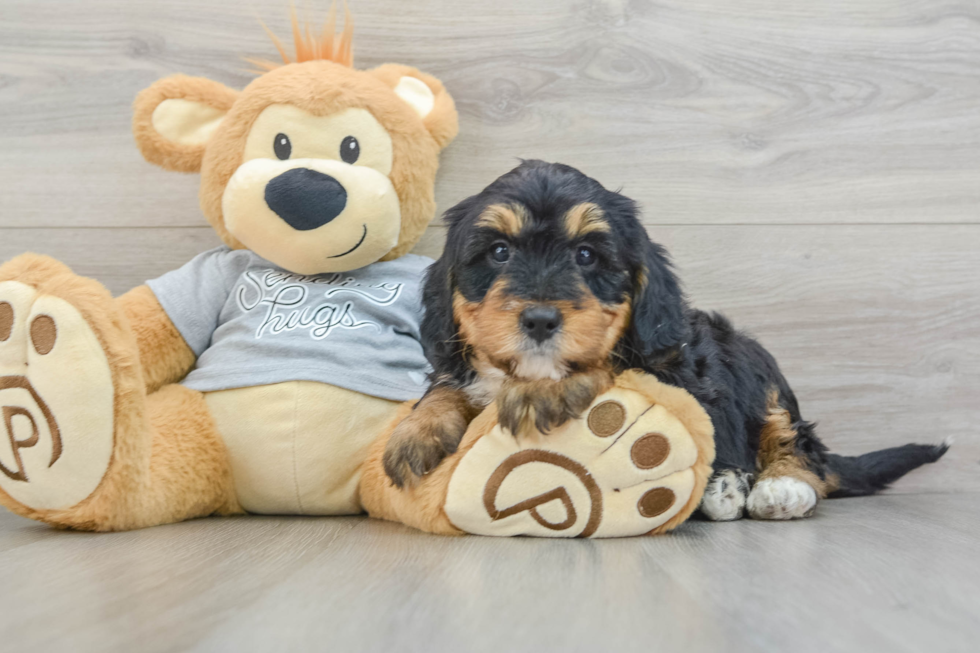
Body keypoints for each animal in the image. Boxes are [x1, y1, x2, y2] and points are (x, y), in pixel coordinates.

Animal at [384, 159, 948, 520]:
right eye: (499, 252)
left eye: (587, 256)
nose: (541, 320)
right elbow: (447, 385)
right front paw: (417, 430)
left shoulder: (669, 370)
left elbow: (604, 366)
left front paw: (544, 391)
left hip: (755, 364)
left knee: (796, 440)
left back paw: (773, 486)